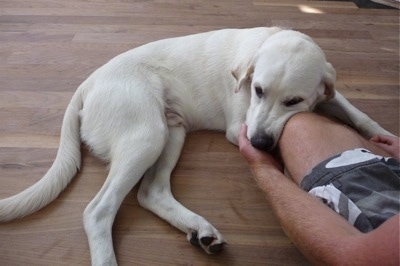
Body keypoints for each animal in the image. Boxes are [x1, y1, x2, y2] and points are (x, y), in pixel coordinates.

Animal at [0, 28, 394, 264]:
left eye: (294, 100)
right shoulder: (241, 126)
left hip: (171, 132)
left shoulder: (324, 95)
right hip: (148, 136)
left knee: (152, 193)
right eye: (258, 90)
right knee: (98, 211)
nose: (258, 142)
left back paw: (200, 230)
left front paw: (382, 135)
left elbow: (354, 111)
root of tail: (88, 83)